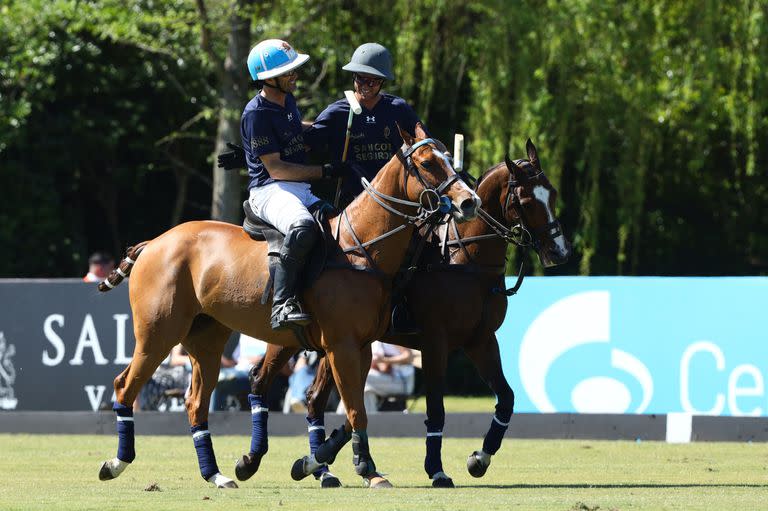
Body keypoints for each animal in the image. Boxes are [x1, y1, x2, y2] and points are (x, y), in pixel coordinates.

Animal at [96, 124, 480, 488]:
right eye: (427, 163)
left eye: (449, 157)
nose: (469, 202)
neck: (361, 246)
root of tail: (153, 242)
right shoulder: (341, 346)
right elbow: (355, 411)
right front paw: (366, 469)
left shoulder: (363, 346)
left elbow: (347, 410)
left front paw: (318, 463)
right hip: (158, 332)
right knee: (125, 385)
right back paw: (116, 463)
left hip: (206, 337)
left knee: (195, 402)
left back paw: (216, 475)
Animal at [240, 139, 568, 488]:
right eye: (527, 201)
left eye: (553, 193)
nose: (560, 252)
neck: (466, 258)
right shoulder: (435, 342)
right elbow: (436, 408)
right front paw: (436, 469)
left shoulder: (480, 340)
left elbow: (506, 398)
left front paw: (479, 458)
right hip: (294, 338)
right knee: (263, 380)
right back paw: (259, 461)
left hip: (336, 343)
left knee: (315, 398)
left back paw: (319, 466)